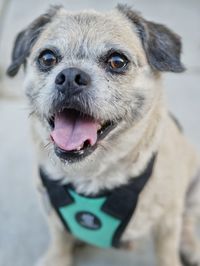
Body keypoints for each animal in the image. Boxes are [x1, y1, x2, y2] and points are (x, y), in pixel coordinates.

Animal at [6, 4, 200, 266]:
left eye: (117, 61)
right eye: (47, 58)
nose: (70, 77)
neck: (91, 175)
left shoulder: (168, 222)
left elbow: (167, 251)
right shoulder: (52, 213)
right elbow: (59, 238)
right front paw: (57, 257)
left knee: (187, 218)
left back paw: (190, 245)